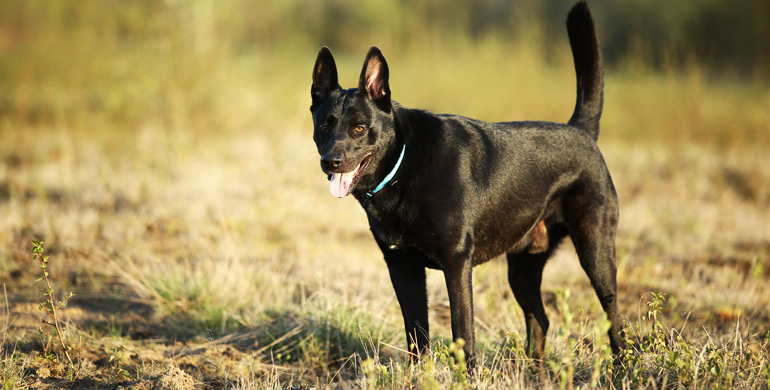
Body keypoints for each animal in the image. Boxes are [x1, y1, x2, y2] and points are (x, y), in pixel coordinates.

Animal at [308, 1, 620, 366]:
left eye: (358, 128)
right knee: (540, 320)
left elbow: (463, 335)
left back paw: (623, 367)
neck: (405, 164)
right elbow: (416, 336)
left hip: (595, 252)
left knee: (615, 319)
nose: (331, 162)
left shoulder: (456, 264)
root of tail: (581, 130)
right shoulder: (402, 267)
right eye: (325, 126)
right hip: (522, 268)